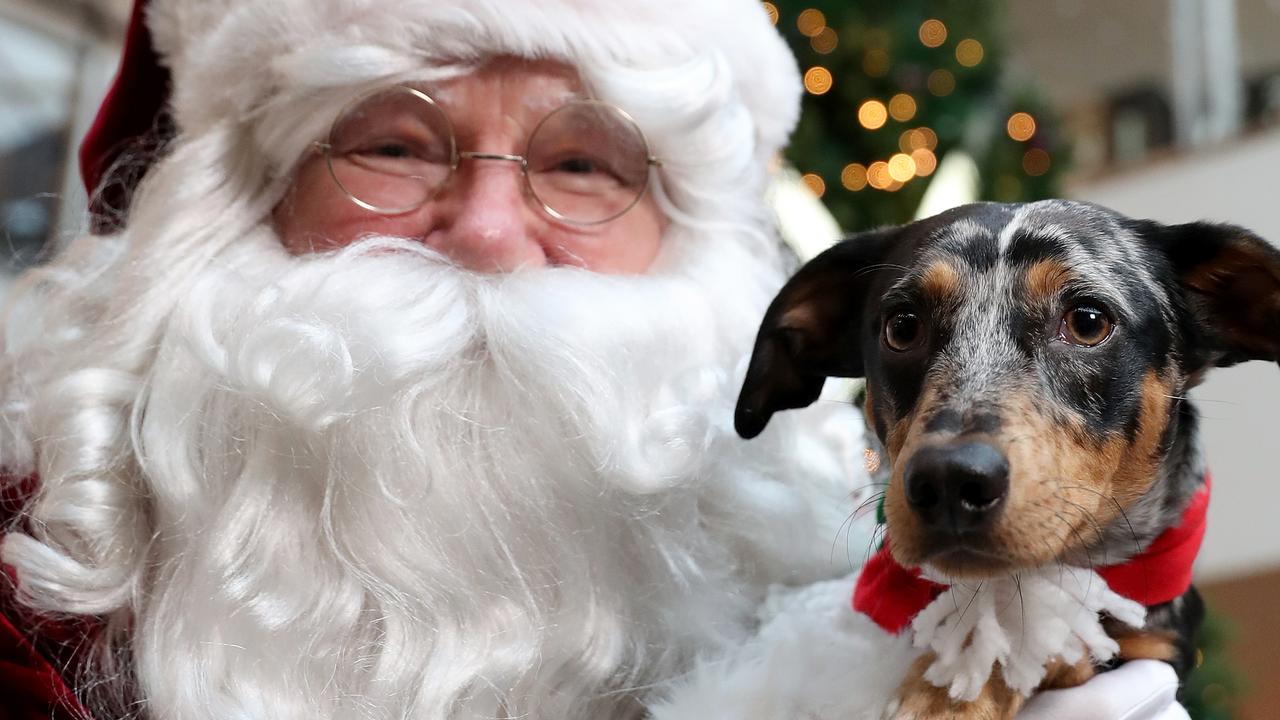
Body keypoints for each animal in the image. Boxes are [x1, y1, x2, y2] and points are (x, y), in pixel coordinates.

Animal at [732, 199, 1280, 717]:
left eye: (1088, 321)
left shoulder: (1157, 645)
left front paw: (952, 689)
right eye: (902, 327)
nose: (948, 481)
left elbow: (1049, 629)